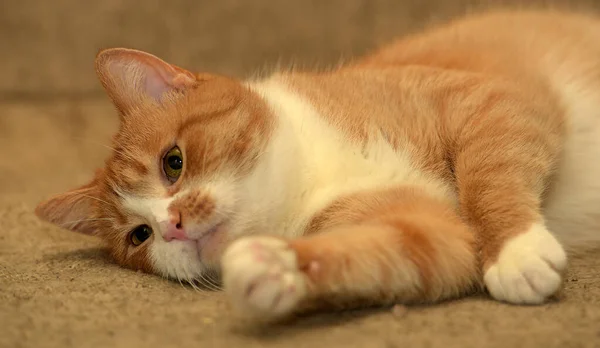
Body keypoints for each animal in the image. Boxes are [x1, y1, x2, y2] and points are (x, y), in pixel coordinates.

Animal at [36, 9, 600, 322]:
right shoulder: (430, 233)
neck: (314, 171)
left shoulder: (489, 102)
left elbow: (488, 177)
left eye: (172, 163)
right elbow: (385, 252)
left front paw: (514, 248)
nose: (171, 225)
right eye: (139, 236)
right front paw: (278, 267)